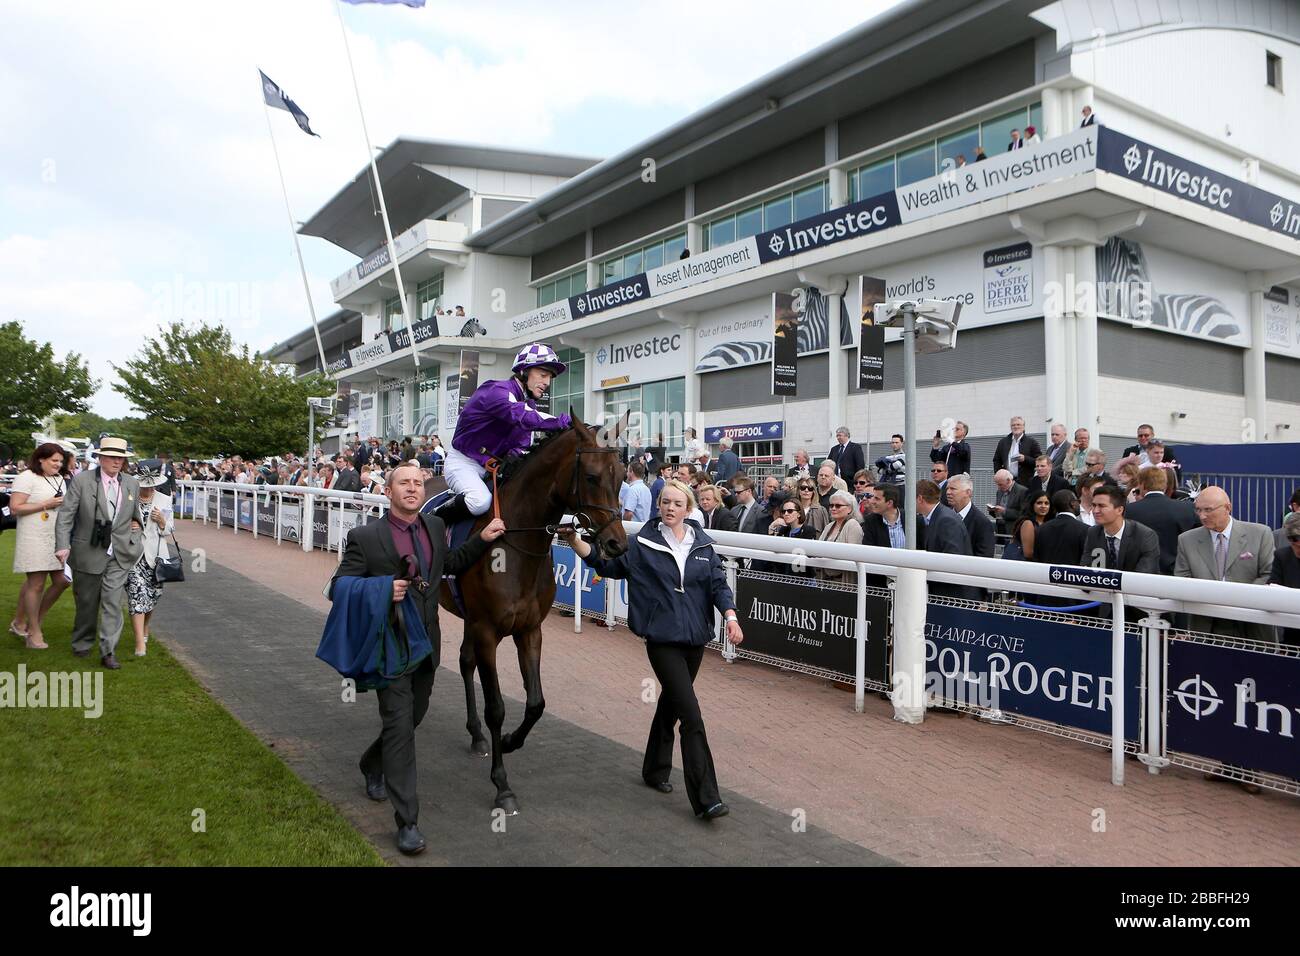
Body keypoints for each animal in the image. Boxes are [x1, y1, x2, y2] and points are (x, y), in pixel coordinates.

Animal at [436, 413, 629, 816]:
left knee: (464, 662)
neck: (515, 542)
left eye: (621, 475)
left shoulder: (529, 630)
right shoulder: (488, 631)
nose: (617, 543)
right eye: (591, 476)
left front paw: (509, 741)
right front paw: (502, 785)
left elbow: (536, 703)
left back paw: (476, 736)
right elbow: (496, 707)